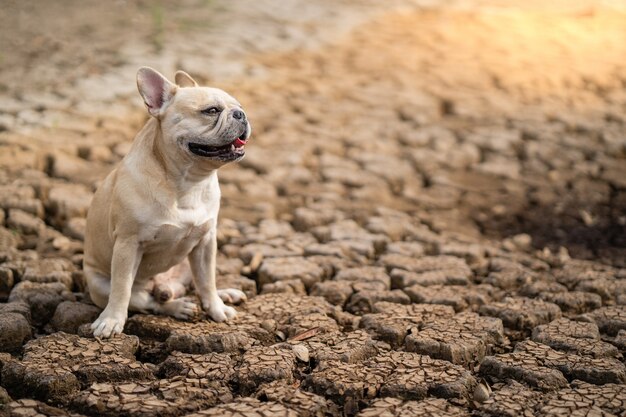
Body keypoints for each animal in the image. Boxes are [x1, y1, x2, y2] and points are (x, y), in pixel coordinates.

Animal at [83, 66, 249, 336]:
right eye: (212, 110)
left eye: (240, 107)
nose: (241, 114)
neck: (189, 181)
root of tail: (167, 286)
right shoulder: (128, 245)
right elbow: (122, 288)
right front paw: (111, 320)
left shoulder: (206, 242)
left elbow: (207, 280)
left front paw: (216, 308)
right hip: (99, 285)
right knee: (146, 301)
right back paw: (179, 307)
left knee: (198, 284)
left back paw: (224, 295)